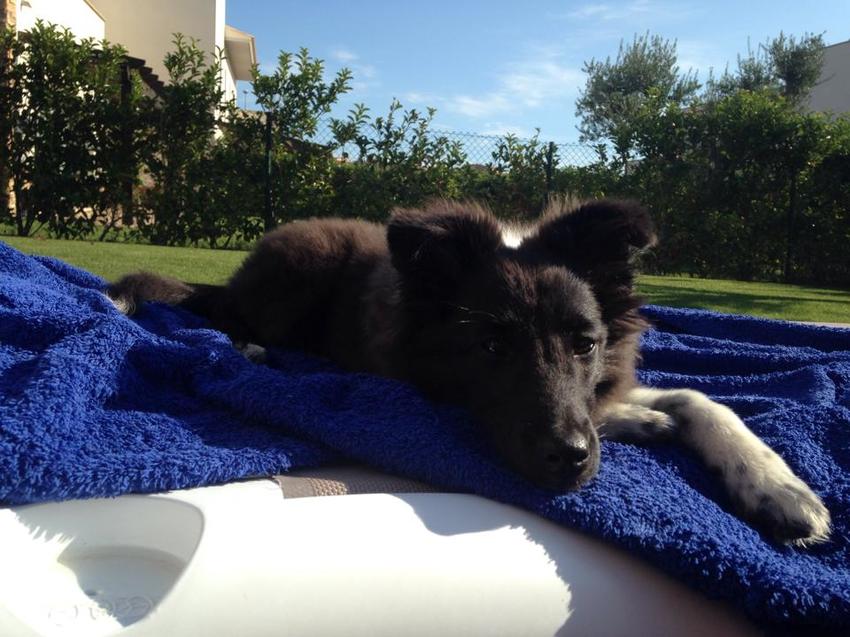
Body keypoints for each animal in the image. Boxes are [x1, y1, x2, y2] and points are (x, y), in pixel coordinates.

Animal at [109, 198, 831, 546]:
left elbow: (702, 401)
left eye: (585, 344)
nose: (570, 460)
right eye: (490, 348)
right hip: (297, 270)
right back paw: (251, 350)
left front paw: (779, 486)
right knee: (227, 318)